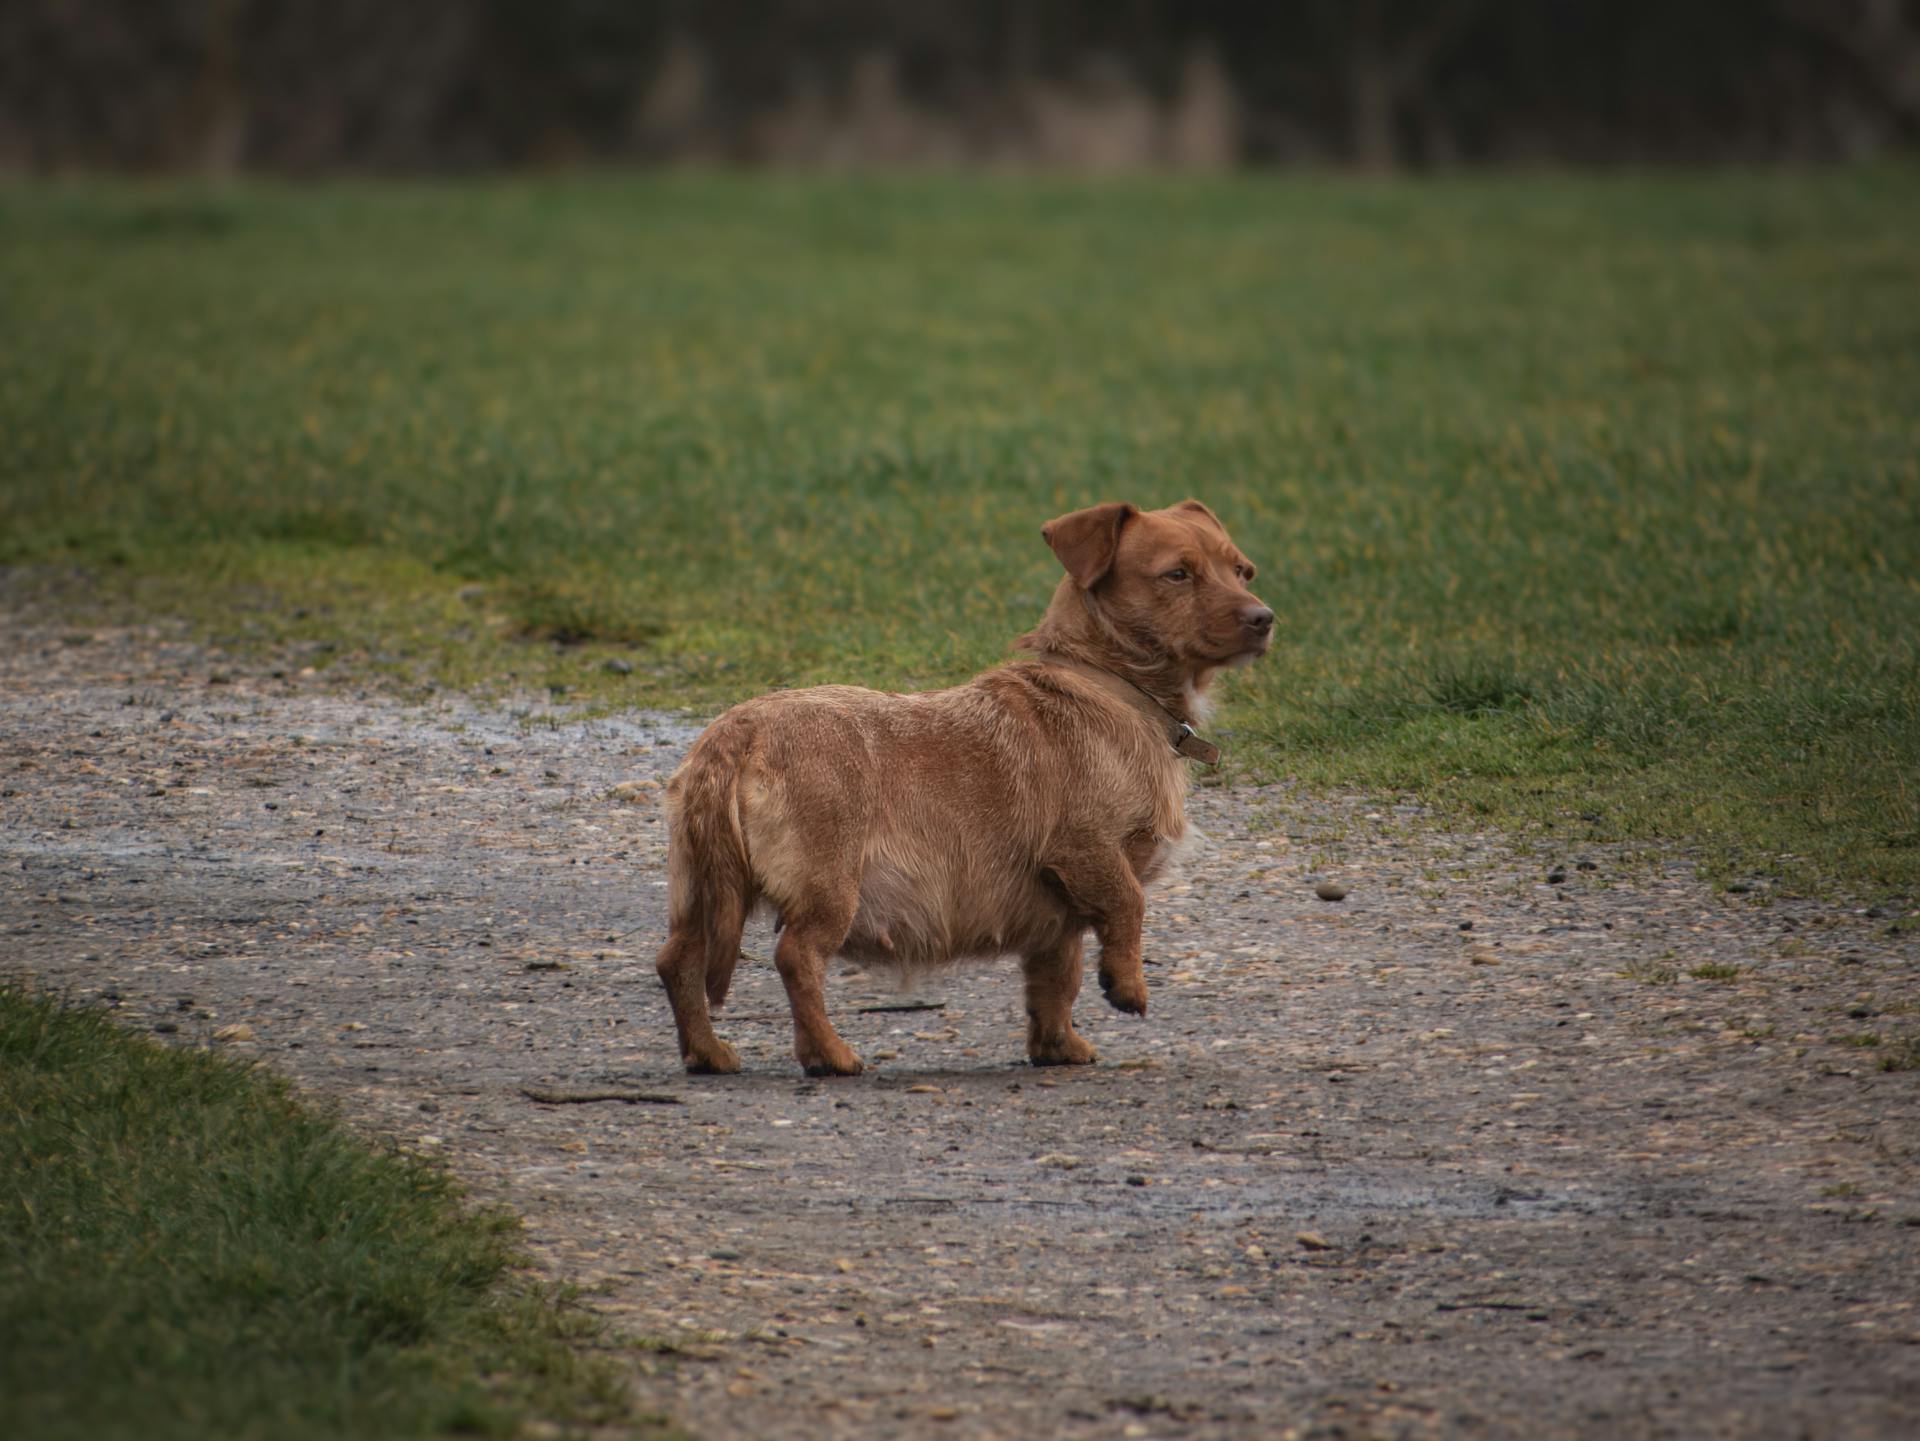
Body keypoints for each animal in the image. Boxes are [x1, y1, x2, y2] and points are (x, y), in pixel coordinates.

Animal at [652, 502, 1267, 1074]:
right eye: (1178, 574)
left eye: (1243, 570)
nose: (1265, 618)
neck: (1110, 685)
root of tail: (738, 731)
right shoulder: (1087, 850)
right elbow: (1128, 904)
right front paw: (1127, 984)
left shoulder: (1058, 912)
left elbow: (1057, 976)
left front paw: (1057, 1044)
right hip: (827, 887)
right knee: (796, 957)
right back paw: (829, 1053)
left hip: (701, 885)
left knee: (677, 959)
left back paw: (708, 1052)